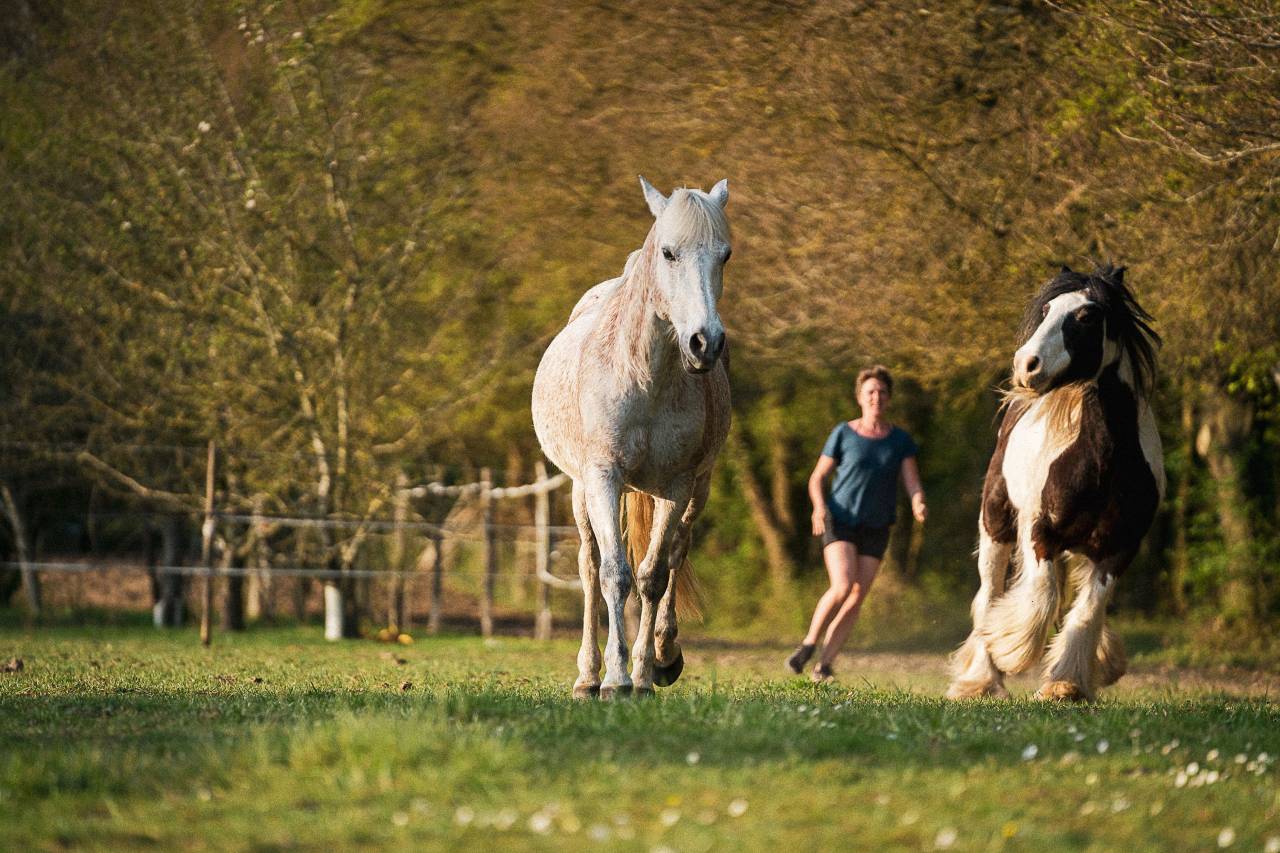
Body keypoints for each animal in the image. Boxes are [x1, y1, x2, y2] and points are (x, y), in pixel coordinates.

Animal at [531, 176, 732, 699]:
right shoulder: (603, 477)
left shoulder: (678, 485)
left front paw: (643, 674)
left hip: (697, 489)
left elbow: (653, 576)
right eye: (669, 252)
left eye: (724, 255)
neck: (646, 376)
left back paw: (665, 655)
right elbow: (614, 575)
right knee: (588, 566)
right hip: (581, 490)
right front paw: (614, 679)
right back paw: (587, 675)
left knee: (677, 552)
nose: (705, 343)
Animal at [947, 265, 1164, 702]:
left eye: (1086, 316)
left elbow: (1089, 609)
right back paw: (983, 678)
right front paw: (1010, 650)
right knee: (989, 594)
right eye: (1046, 310)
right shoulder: (1039, 532)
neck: (1105, 463)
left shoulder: (1119, 547)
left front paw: (1066, 683)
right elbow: (1042, 595)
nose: (1026, 365)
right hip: (995, 525)